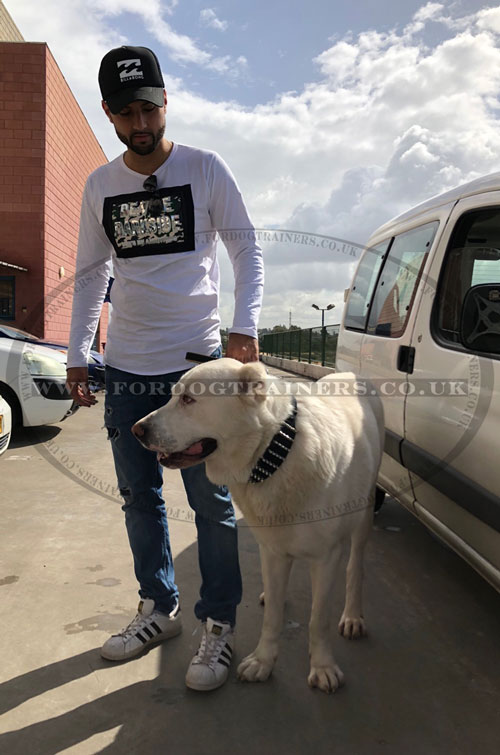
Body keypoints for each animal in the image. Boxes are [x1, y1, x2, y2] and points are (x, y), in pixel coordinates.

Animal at [132, 360, 382, 696]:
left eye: (188, 400)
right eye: (173, 396)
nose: (136, 430)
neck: (275, 452)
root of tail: (349, 374)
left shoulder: (327, 556)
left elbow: (319, 619)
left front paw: (323, 667)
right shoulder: (272, 549)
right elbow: (273, 616)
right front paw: (263, 661)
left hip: (364, 513)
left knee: (355, 566)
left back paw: (353, 616)